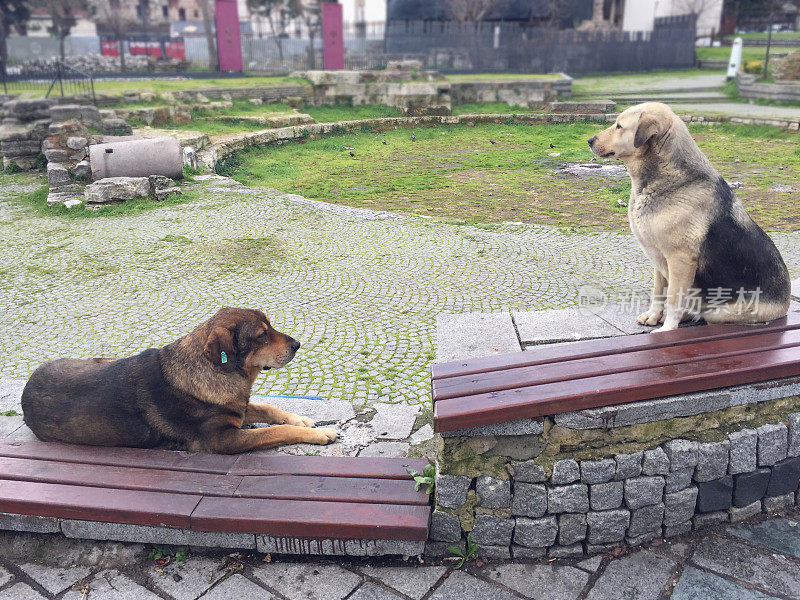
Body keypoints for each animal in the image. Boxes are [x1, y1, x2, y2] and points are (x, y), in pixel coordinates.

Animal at [22, 308, 338, 452]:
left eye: (270, 325)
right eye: (262, 335)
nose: (297, 344)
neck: (215, 371)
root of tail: (25, 394)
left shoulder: (238, 407)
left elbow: (270, 409)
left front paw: (300, 419)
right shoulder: (221, 439)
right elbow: (274, 431)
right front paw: (318, 434)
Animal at [584, 101, 792, 330]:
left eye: (619, 126)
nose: (589, 140)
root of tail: (786, 303)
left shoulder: (680, 259)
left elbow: (674, 299)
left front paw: (667, 330)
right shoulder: (658, 258)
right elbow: (658, 292)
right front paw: (654, 316)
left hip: (719, 311)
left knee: (701, 313)